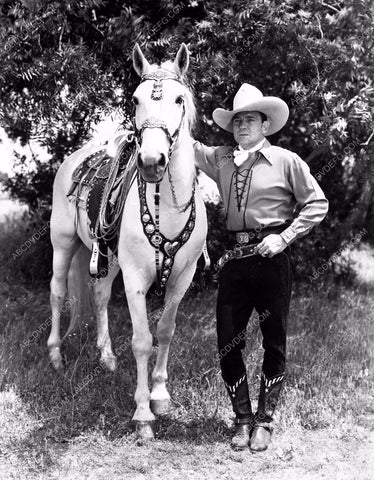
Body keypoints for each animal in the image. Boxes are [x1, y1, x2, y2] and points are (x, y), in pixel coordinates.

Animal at [46, 45, 207, 438]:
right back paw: (56, 355)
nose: (151, 161)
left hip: (110, 259)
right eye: (135, 99)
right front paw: (143, 413)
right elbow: (142, 341)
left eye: (179, 99)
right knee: (57, 292)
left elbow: (165, 331)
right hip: (63, 244)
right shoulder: (135, 279)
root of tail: (77, 157)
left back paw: (106, 357)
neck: (168, 208)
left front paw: (160, 396)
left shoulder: (182, 278)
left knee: (101, 296)